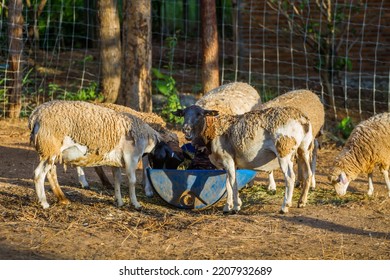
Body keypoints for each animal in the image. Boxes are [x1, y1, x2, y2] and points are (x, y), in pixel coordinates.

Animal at [29, 100, 161, 208]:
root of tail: (35, 116)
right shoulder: (131, 158)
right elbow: (132, 181)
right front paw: (136, 203)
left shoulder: (117, 162)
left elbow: (117, 180)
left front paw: (119, 201)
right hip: (50, 147)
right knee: (39, 174)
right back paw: (44, 203)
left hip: (52, 151)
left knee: (51, 173)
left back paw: (62, 199)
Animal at [175, 104, 316, 212]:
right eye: (183, 114)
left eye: (199, 114)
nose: (186, 129)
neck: (213, 131)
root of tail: (303, 120)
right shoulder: (230, 162)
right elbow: (228, 183)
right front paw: (228, 207)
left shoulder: (227, 158)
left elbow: (232, 182)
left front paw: (236, 206)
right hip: (304, 148)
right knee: (308, 174)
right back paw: (302, 201)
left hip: (284, 149)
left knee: (290, 177)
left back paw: (285, 206)